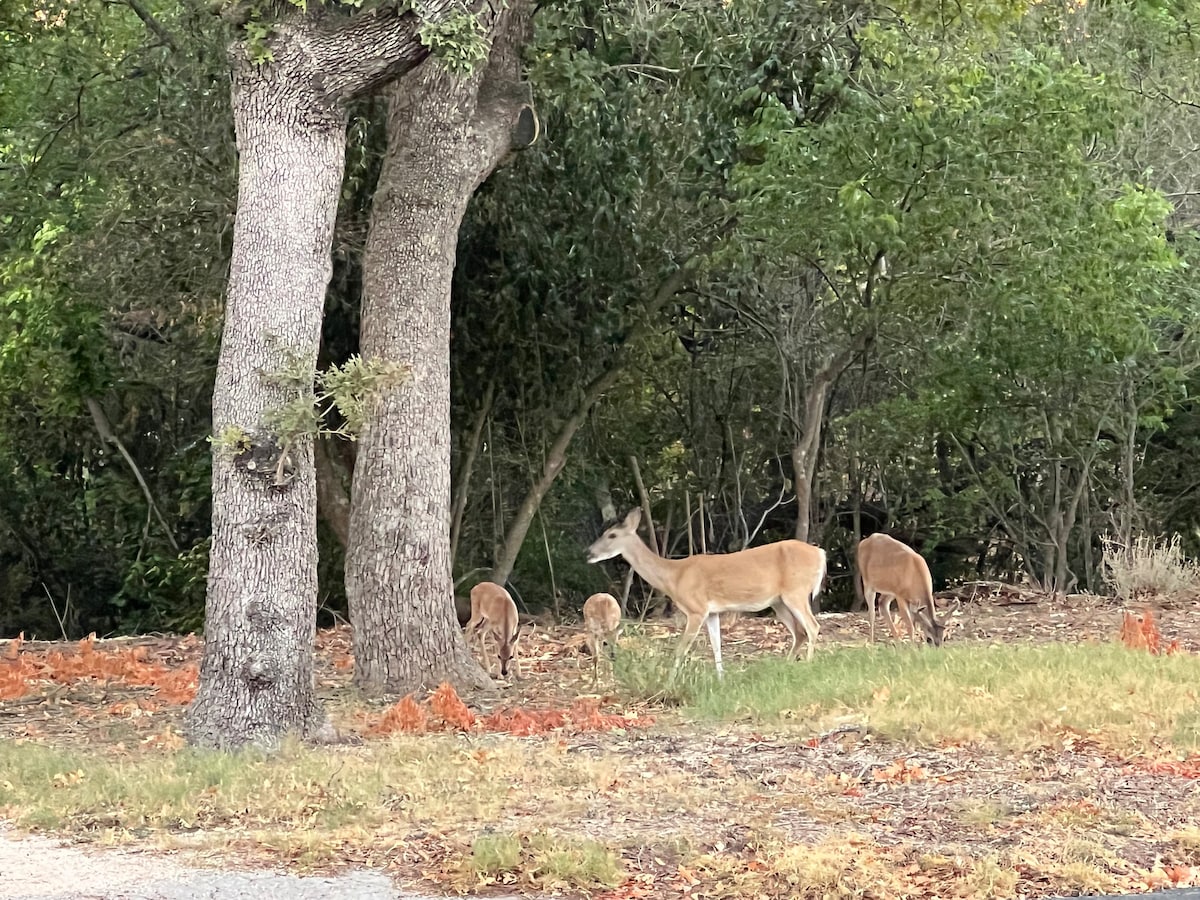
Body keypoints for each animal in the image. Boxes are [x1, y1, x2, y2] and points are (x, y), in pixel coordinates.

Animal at [583, 511, 825, 681]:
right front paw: (721, 680)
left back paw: (808, 666)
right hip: (779, 601)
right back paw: (786, 666)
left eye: (612, 535)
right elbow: (716, 646)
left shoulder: (696, 609)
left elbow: (680, 649)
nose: (589, 553)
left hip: (796, 591)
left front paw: (669, 684)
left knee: (813, 627)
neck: (675, 576)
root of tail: (820, 553)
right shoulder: (712, 612)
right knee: (800, 632)